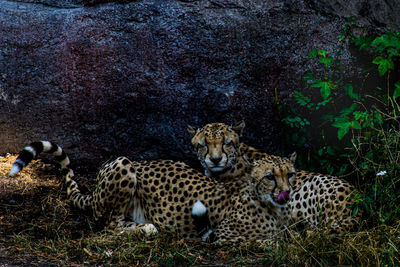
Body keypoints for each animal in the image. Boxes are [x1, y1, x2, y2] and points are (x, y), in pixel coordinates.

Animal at [9, 141, 296, 244]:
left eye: (290, 174)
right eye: (270, 177)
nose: (286, 192)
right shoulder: (224, 234)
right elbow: (268, 240)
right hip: (123, 164)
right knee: (110, 224)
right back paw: (146, 228)